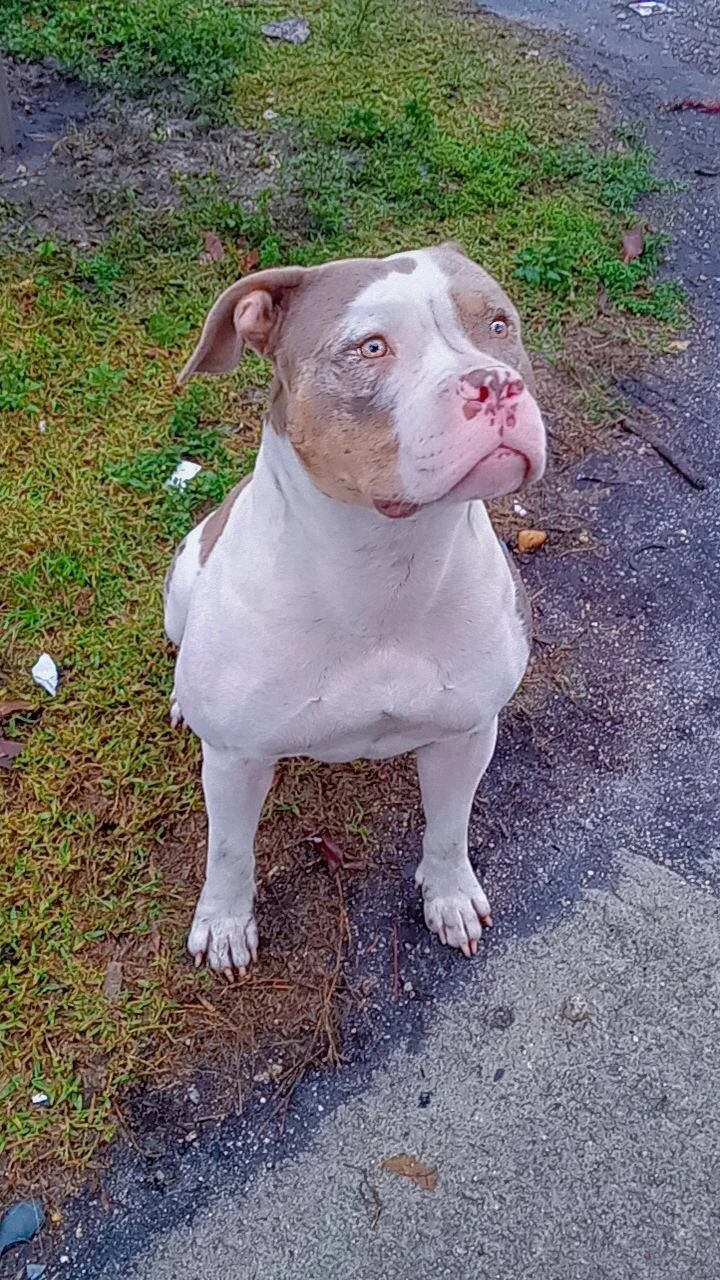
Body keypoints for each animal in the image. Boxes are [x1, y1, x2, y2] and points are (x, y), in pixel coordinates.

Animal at [164, 243, 546, 978]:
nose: (495, 384)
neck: (385, 565)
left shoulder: (467, 733)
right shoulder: (233, 759)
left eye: (498, 324)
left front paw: (449, 897)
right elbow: (228, 852)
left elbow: (449, 828)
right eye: (371, 347)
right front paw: (223, 924)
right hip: (180, 587)